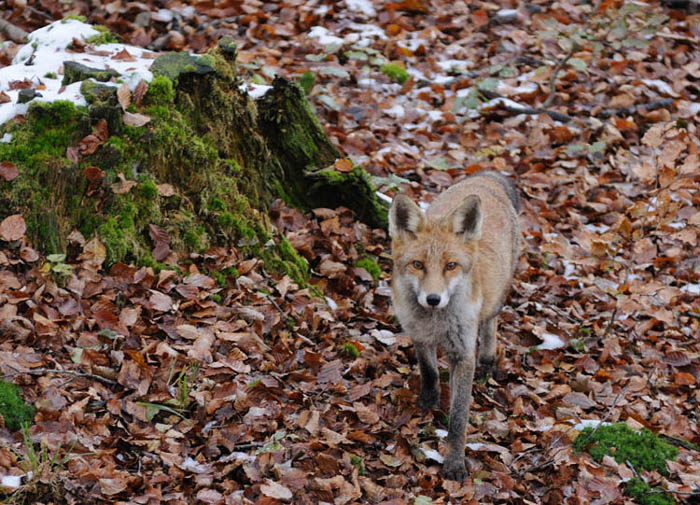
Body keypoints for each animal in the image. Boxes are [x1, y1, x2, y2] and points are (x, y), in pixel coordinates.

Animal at [388, 170, 520, 480]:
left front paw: (454, 463)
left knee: (490, 324)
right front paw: (428, 401)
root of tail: (488, 177)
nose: (433, 299)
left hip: (495, 299)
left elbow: (459, 418)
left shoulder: (462, 355)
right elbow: (429, 372)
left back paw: (487, 362)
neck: (436, 324)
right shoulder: (418, 334)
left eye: (450, 266)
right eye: (417, 265)